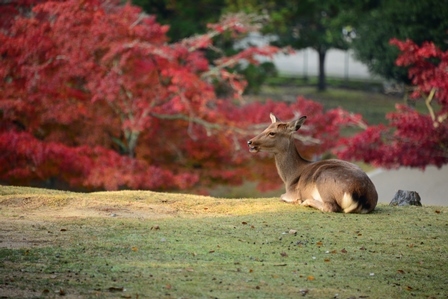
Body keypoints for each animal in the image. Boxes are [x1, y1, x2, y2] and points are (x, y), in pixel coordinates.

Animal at [248, 113, 378, 214]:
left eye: (272, 133)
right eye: (265, 128)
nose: (250, 142)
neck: (289, 178)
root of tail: (361, 196)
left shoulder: (292, 192)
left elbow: (281, 196)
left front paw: (297, 201)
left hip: (325, 180)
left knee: (330, 207)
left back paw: (306, 202)